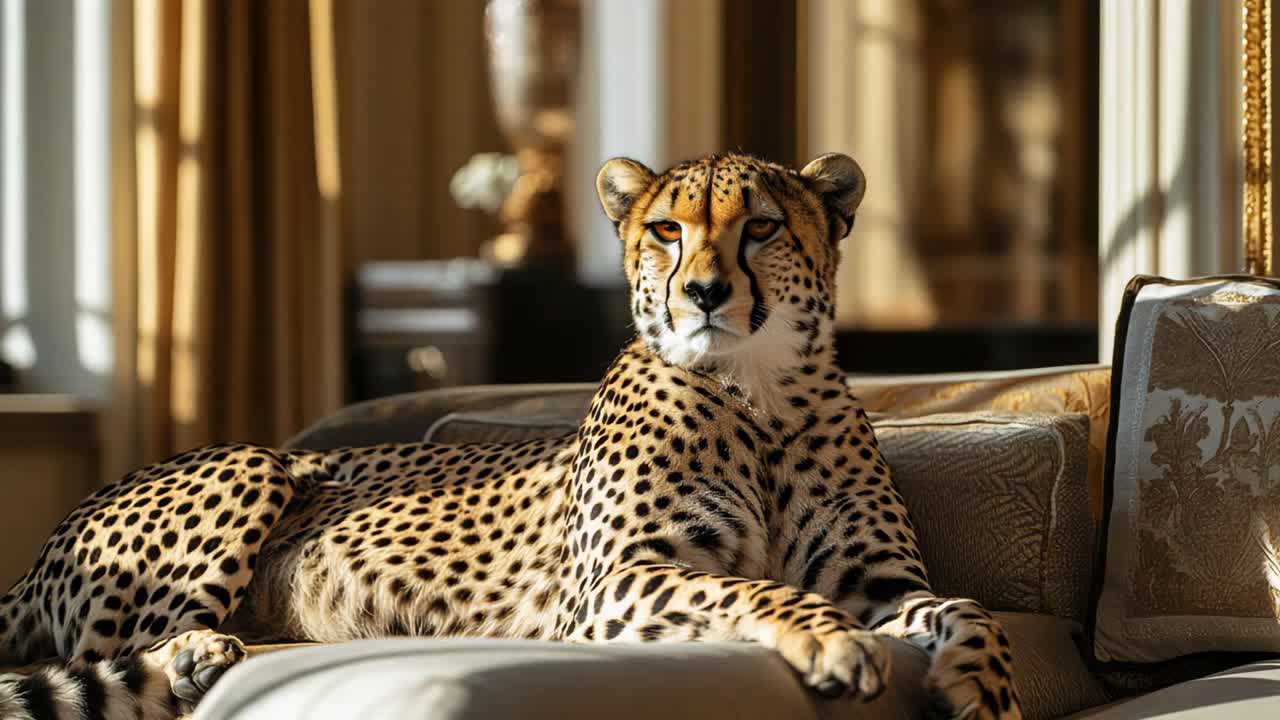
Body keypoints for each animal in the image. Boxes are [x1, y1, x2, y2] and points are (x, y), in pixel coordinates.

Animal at [0, 151, 1022, 720]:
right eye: (666, 230)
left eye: (763, 227)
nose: (701, 293)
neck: (757, 392)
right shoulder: (612, 588)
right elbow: (758, 589)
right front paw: (833, 644)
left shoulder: (883, 584)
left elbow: (973, 607)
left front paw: (984, 686)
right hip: (250, 465)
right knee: (93, 656)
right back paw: (190, 657)